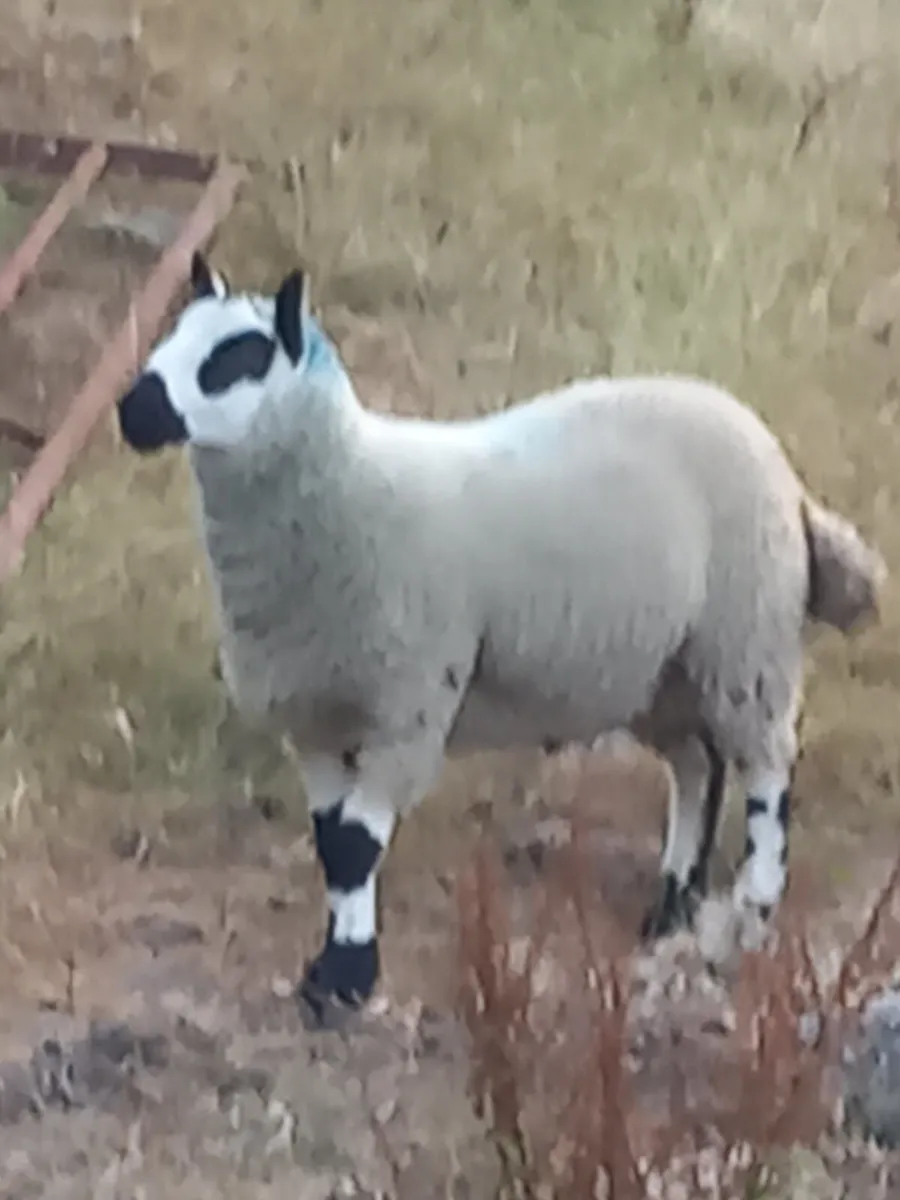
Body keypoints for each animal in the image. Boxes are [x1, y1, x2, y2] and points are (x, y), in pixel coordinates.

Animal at [116, 252, 886, 1025]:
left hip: (746, 638)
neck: (352, 485)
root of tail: (780, 467)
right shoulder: (316, 718)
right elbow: (333, 846)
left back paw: (753, 907)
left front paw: (346, 980)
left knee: (766, 771)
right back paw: (671, 906)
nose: (132, 411)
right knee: (698, 768)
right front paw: (328, 973)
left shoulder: (408, 704)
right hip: (661, 669)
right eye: (174, 332)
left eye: (236, 357)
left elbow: (357, 847)